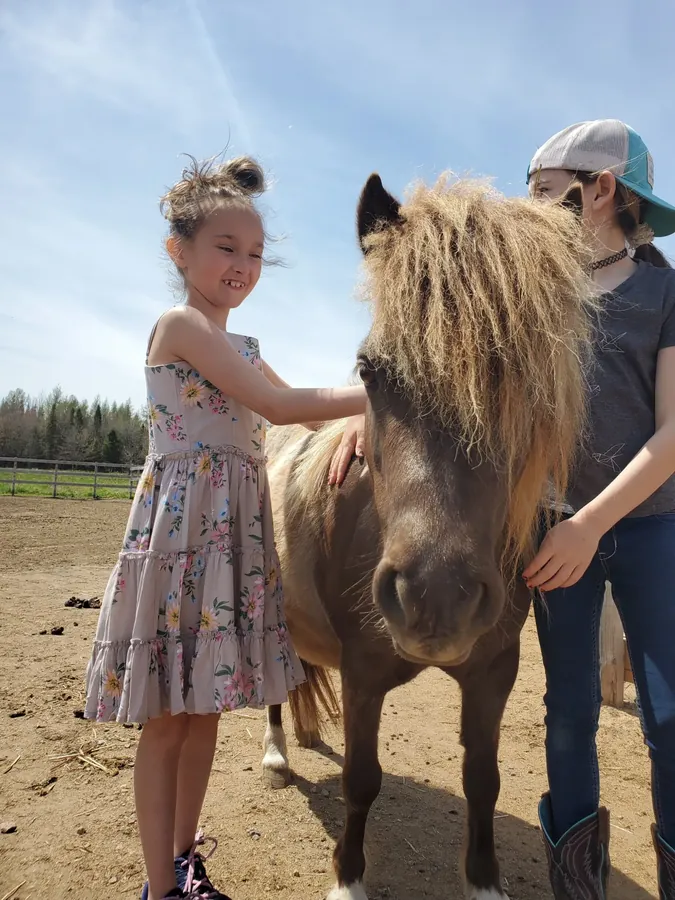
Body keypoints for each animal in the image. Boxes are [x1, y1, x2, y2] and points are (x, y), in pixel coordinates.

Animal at [261, 172, 596, 899]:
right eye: (368, 370)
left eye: (527, 383)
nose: (433, 596)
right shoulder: (362, 672)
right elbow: (362, 780)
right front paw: (348, 879)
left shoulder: (494, 673)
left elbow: (482, 781)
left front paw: (485, 881)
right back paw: (275, 755)